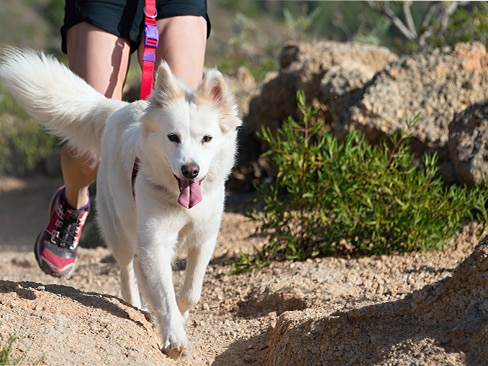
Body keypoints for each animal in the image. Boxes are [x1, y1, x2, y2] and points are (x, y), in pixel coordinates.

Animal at [0, 47, 241, 358]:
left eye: (207, 139)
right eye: (173, 138)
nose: (190, 170)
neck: (177, 199)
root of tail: (118, 108)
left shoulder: (204, 239)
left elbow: (190, 292)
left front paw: (180, 315)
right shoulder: (155, 241)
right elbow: (165, 294)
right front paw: (174, 337)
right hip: (119, 228)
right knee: (127, 271)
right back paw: (137, 303)